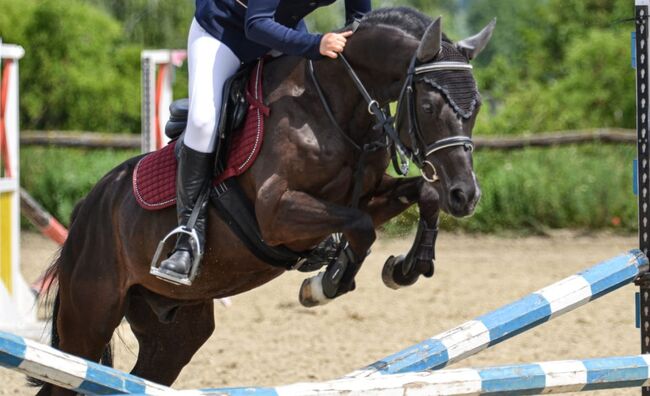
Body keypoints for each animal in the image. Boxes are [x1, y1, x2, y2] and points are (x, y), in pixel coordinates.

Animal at [34, 7, 492, 394]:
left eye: (476, 107)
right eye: (429, 106)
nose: (466, 196)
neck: (333, 106)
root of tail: (87, 208)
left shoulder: (368, 196)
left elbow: (421, 195)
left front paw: (407, 267)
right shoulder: (277, 213)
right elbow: (359, 229)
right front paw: (325, 283)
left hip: (174, 326)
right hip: (88, 318)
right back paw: (182, 256)